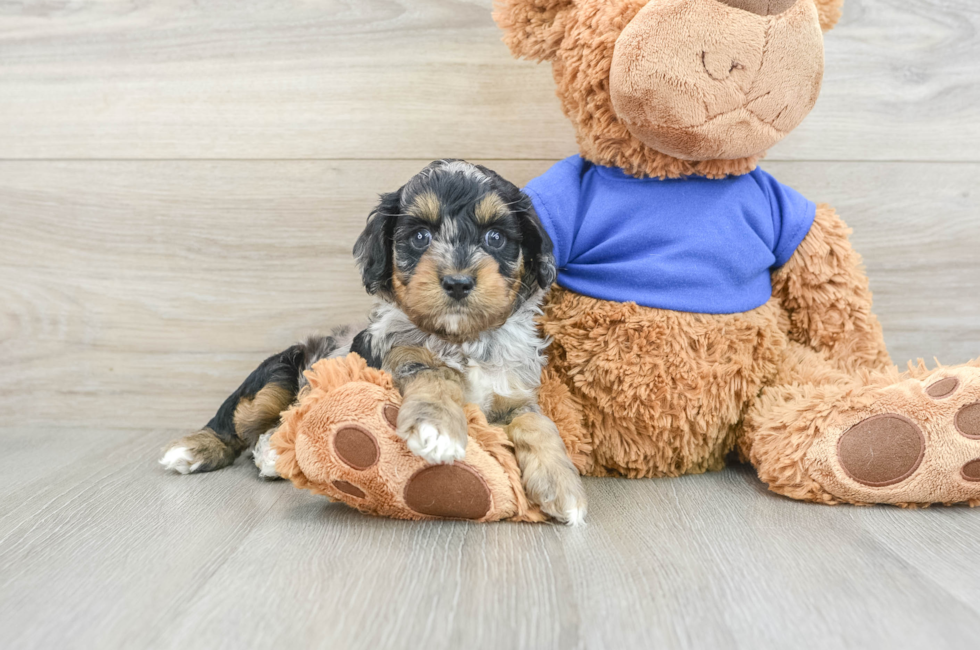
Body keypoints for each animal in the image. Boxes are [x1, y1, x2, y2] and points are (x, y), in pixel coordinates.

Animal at [160, 159, 584, 524]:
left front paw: (562, 486)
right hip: (276, 375)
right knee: (234, 418)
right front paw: (438, 429)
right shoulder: (401, 357)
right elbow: (434, 377)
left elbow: (539, 423)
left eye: (495, 237)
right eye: (420, 236)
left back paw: (269, 454)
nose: (458, 282)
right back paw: (194, 448)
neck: (461, 339)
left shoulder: (513, 396)